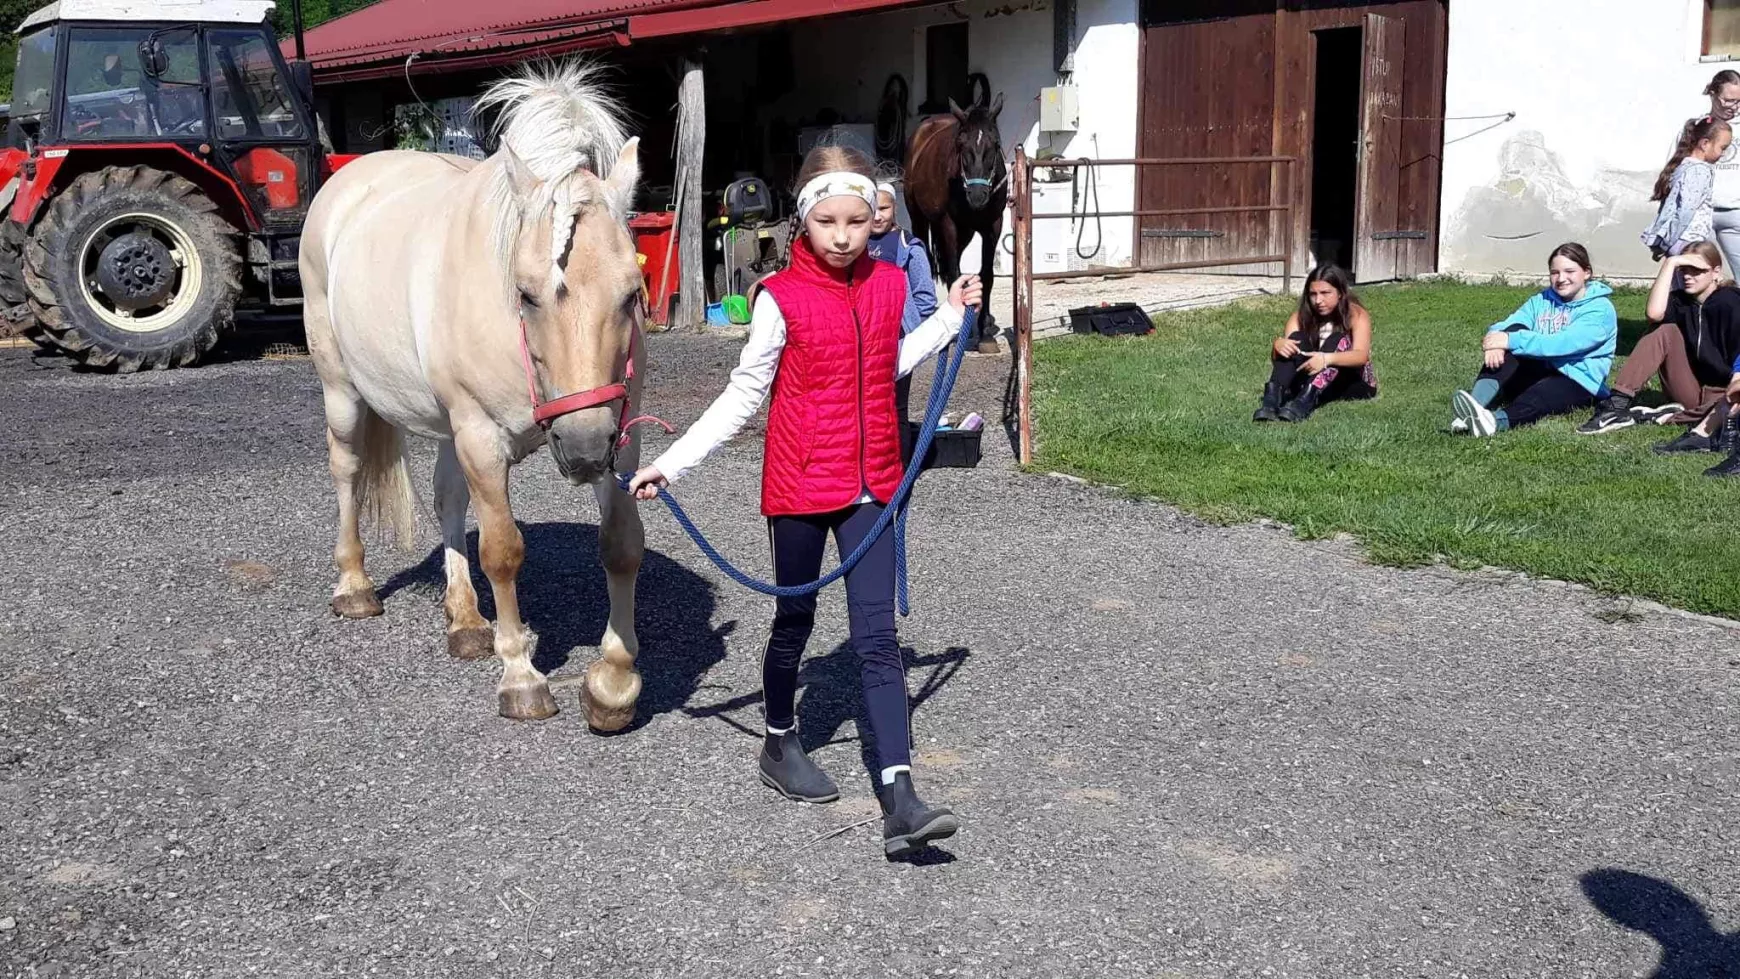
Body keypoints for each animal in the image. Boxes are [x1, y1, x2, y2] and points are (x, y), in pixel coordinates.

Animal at [299, 65, 654, 726]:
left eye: (632, 292)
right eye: (527, 294)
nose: (584, 453)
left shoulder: (617, 433)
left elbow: (621, 545)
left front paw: (613, 684)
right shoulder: (483, 437)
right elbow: (503, 551)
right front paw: (521, 678)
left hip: (449, 424)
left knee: (447, 498)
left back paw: (465, 620)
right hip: (343, 391)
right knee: (347, 470)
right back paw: (354, 586)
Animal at [904, 89, 1016, 354]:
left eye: (996, 144)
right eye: (960, 144)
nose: (977, 196)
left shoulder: (993, 226)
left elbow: (986, 275)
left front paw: (985, 333)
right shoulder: (948, 225)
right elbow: (955, 274)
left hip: (966, 233)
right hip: (920, 220)